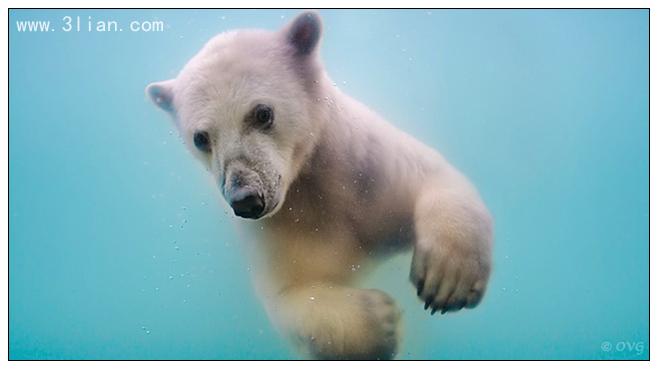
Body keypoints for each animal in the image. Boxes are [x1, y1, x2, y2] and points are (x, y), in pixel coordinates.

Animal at [145, 12, 492, 360]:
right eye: (200, 138)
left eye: (262, 113)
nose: (246, 200)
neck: (315, 183)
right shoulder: (280, 228)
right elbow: (292, 291)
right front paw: (381, 322)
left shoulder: (369, 168)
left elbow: (432, 176)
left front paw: (448, 280)